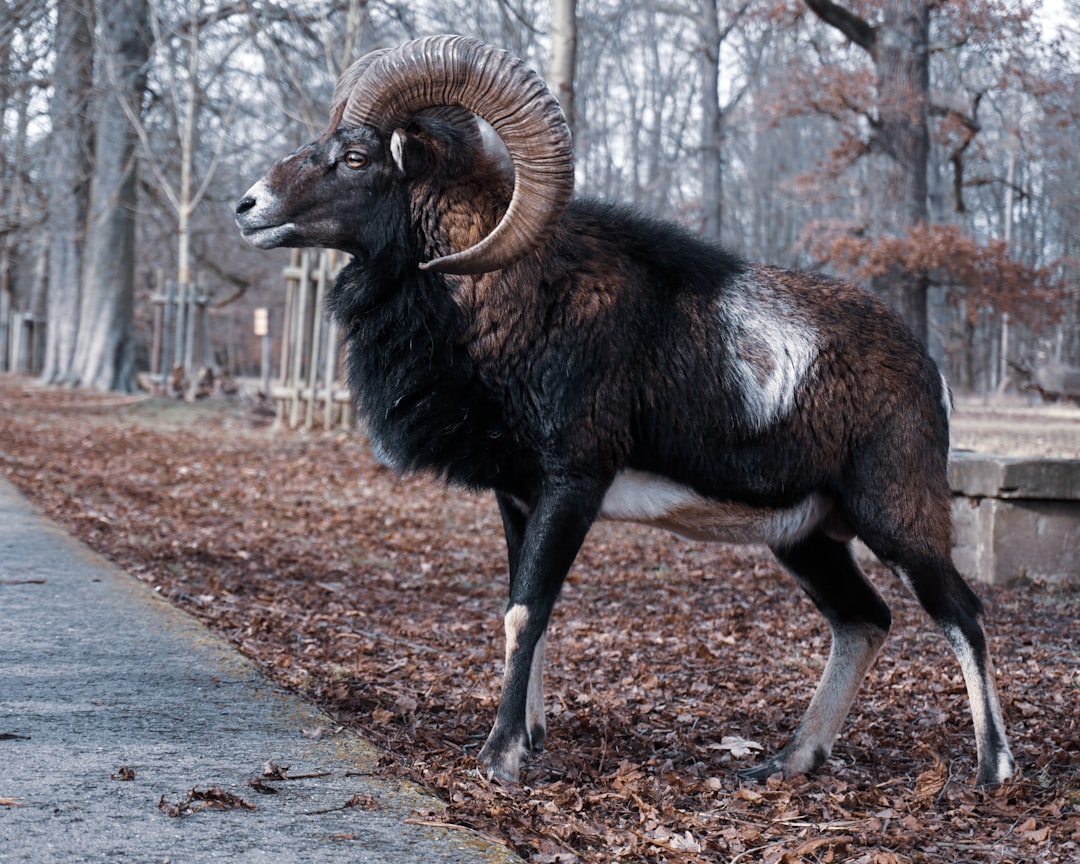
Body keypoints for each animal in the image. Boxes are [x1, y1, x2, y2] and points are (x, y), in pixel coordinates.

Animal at [235, 34, 1015, 786]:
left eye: (356, 156)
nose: (247, 206)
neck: (508, 302)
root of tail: (929, 371)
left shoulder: (573, 486)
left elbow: (527, 611)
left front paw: (500, 759)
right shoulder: (519, 499)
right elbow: (524, 610)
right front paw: (530, 739)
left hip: (898, 522)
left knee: (962, 616)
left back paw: (989, 773)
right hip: (807, 539)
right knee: (864, 621)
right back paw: (787, 762)